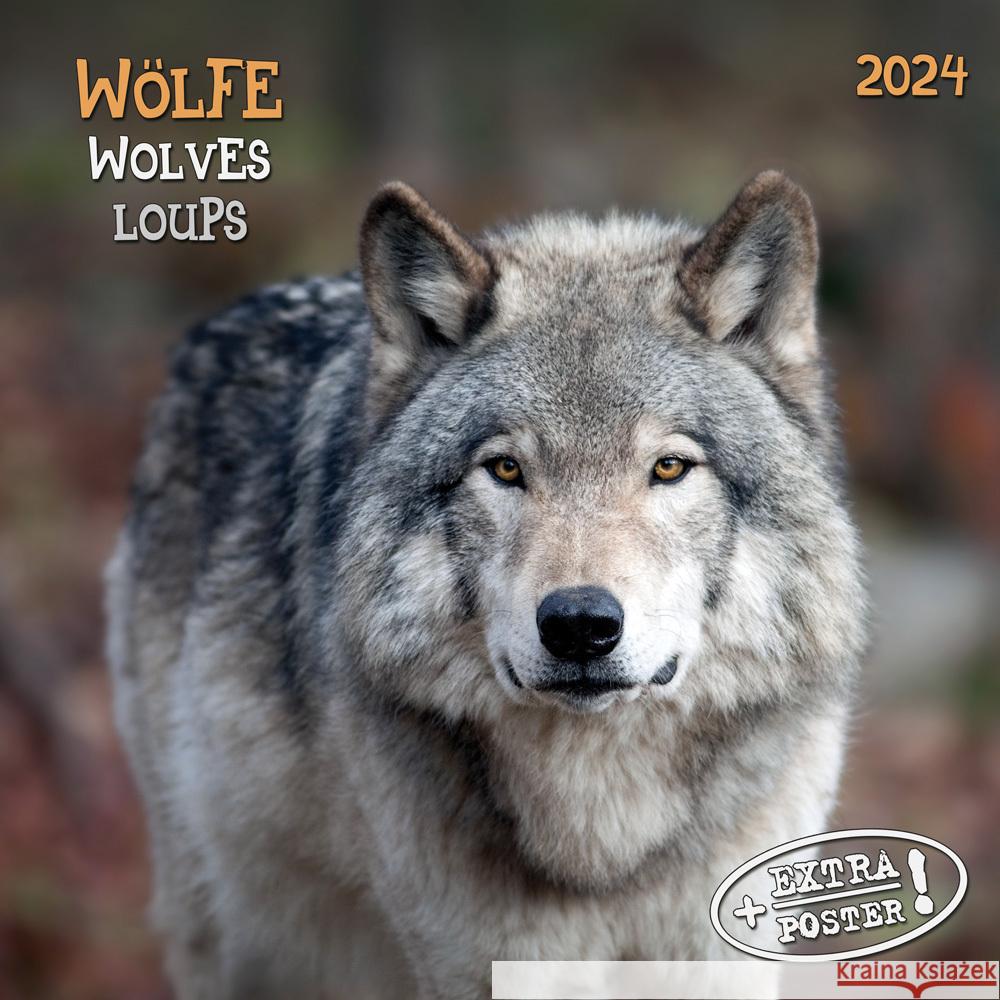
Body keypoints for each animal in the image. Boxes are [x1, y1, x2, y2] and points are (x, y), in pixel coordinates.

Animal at [106, 171, 866, 999]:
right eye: (505, 468)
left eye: (669, 467)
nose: (579, 624)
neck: (602, 841)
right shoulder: (487, 964)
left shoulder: (718, 957)